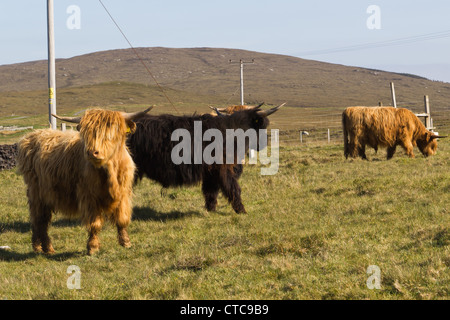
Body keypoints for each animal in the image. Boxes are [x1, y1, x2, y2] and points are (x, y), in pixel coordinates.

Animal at [16, 107, 152, 255]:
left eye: (112, 131)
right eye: (87, 133)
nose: (92, 152)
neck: (110, 171)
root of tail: (34, 135)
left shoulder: (124, 194)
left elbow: (122, 219)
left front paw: (126, 243)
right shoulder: (89, 197)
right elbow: (94, 224)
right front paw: (92, 247)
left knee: (41, 220)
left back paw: (44, 248)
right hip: (37, 194)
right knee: (39, 219)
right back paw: (43, 247)